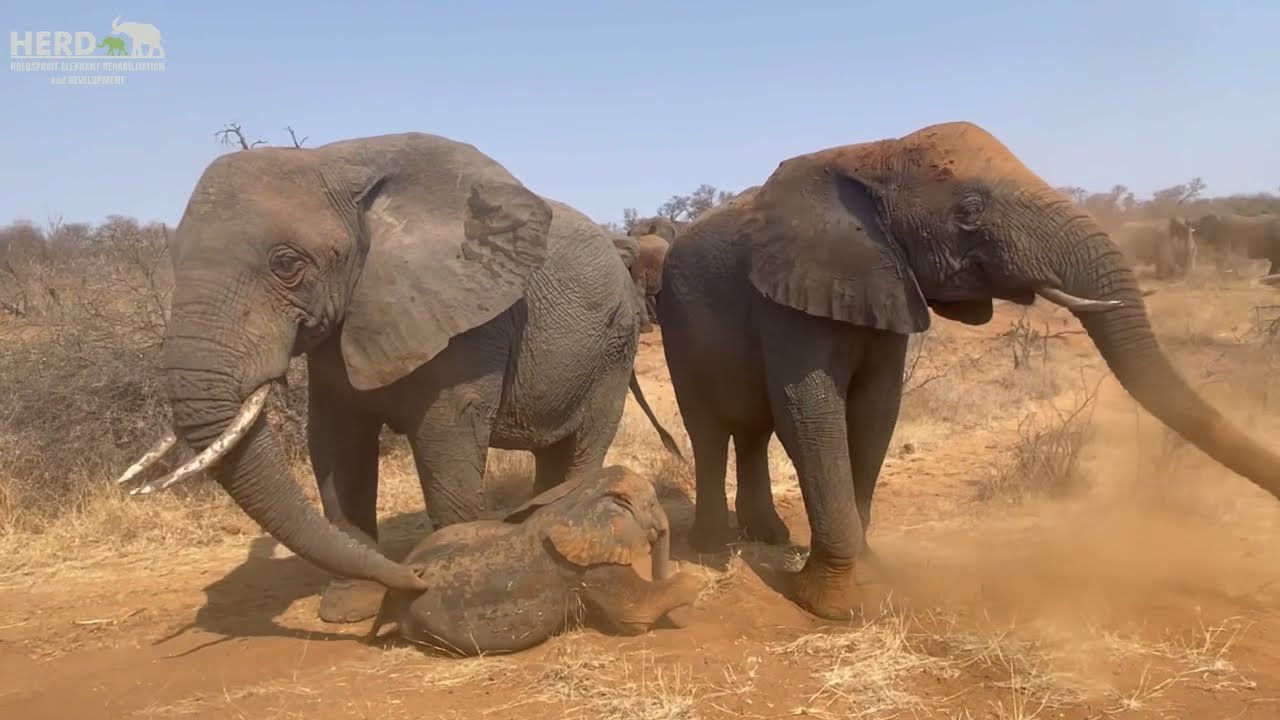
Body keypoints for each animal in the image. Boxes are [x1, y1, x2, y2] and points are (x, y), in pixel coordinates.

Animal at [113, 132, 683, 624]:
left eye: (286, 264)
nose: (414, 577)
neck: (335, 166)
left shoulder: (470, 320)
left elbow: (445, 442)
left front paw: (464, 576)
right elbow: (337, 445)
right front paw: (348, 609)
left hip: (613, 346)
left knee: (584, 441)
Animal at [658, 120, 1280, 621]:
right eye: (970, 210)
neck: (875, 153)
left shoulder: (885, 283)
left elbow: (876, 411)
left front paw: (873, 575)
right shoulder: (789, 296)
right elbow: (810, 413)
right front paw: (833, 607)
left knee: (752, 430)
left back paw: (766, 535)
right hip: (678, 321)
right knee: (709, 429)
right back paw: (714, 548)